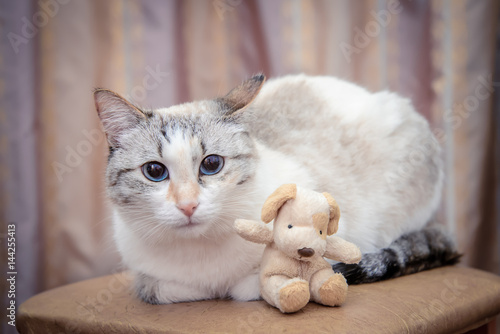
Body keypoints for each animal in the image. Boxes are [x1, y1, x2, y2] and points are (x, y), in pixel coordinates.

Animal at [94, 74, 460, 304]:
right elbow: (154, 289)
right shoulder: (148, 276)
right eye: (155, 172)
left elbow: (256, 283)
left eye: (211, 165)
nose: (187, 206)